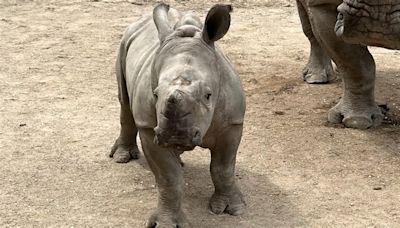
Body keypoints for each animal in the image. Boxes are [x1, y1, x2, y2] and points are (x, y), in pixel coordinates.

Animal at [110, 3, 247, 228]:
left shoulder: (232, 123)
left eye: (208, 95)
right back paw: (123, 157)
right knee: (124, 100)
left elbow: (223, 168)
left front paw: (232, 209)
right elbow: (169, 178)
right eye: (156, 94)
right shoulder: (150, 128)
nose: (175, 136)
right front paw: (167, 223)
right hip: (124, 42)